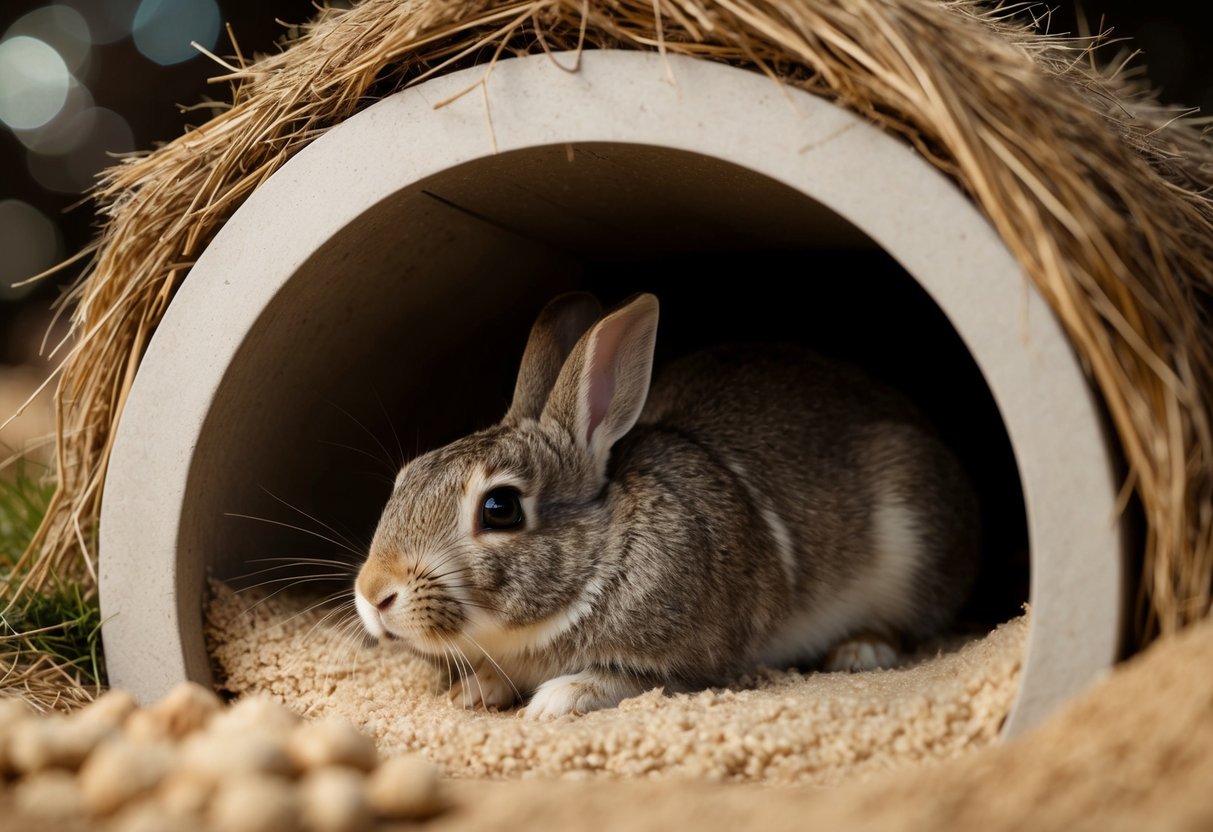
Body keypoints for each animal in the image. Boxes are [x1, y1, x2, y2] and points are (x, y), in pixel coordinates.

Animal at [354, 292, 979, 719]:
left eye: (500, 508)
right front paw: (475, 690)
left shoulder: (694, 660)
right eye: (406, 478)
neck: (604, 553)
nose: (373, 594)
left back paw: (859, 651)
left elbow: (626, 680)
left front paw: (558, 699)